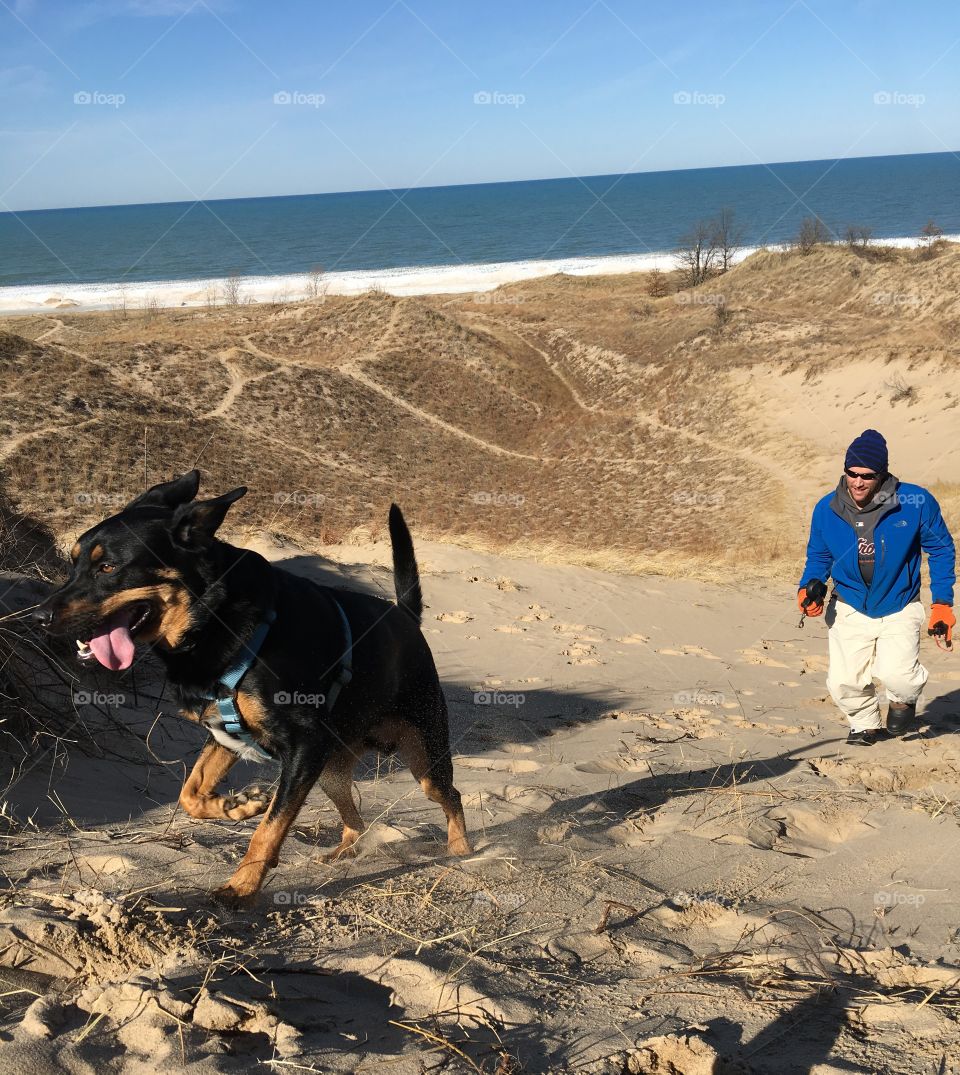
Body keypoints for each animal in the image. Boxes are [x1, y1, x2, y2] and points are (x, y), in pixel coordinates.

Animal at [35, 475, 470, 903]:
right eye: (73, 565)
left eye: (108, 567)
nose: (39, 617)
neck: (215, 617)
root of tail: (406, 616)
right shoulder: (226, 735)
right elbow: (191, 794)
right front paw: (238, 806)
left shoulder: (304, 746)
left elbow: (270, 827)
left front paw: (242, 885)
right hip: (330, 770)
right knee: (355, 820)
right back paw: (340, 853)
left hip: (422, 756)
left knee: (450, 795)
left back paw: (462, 853)